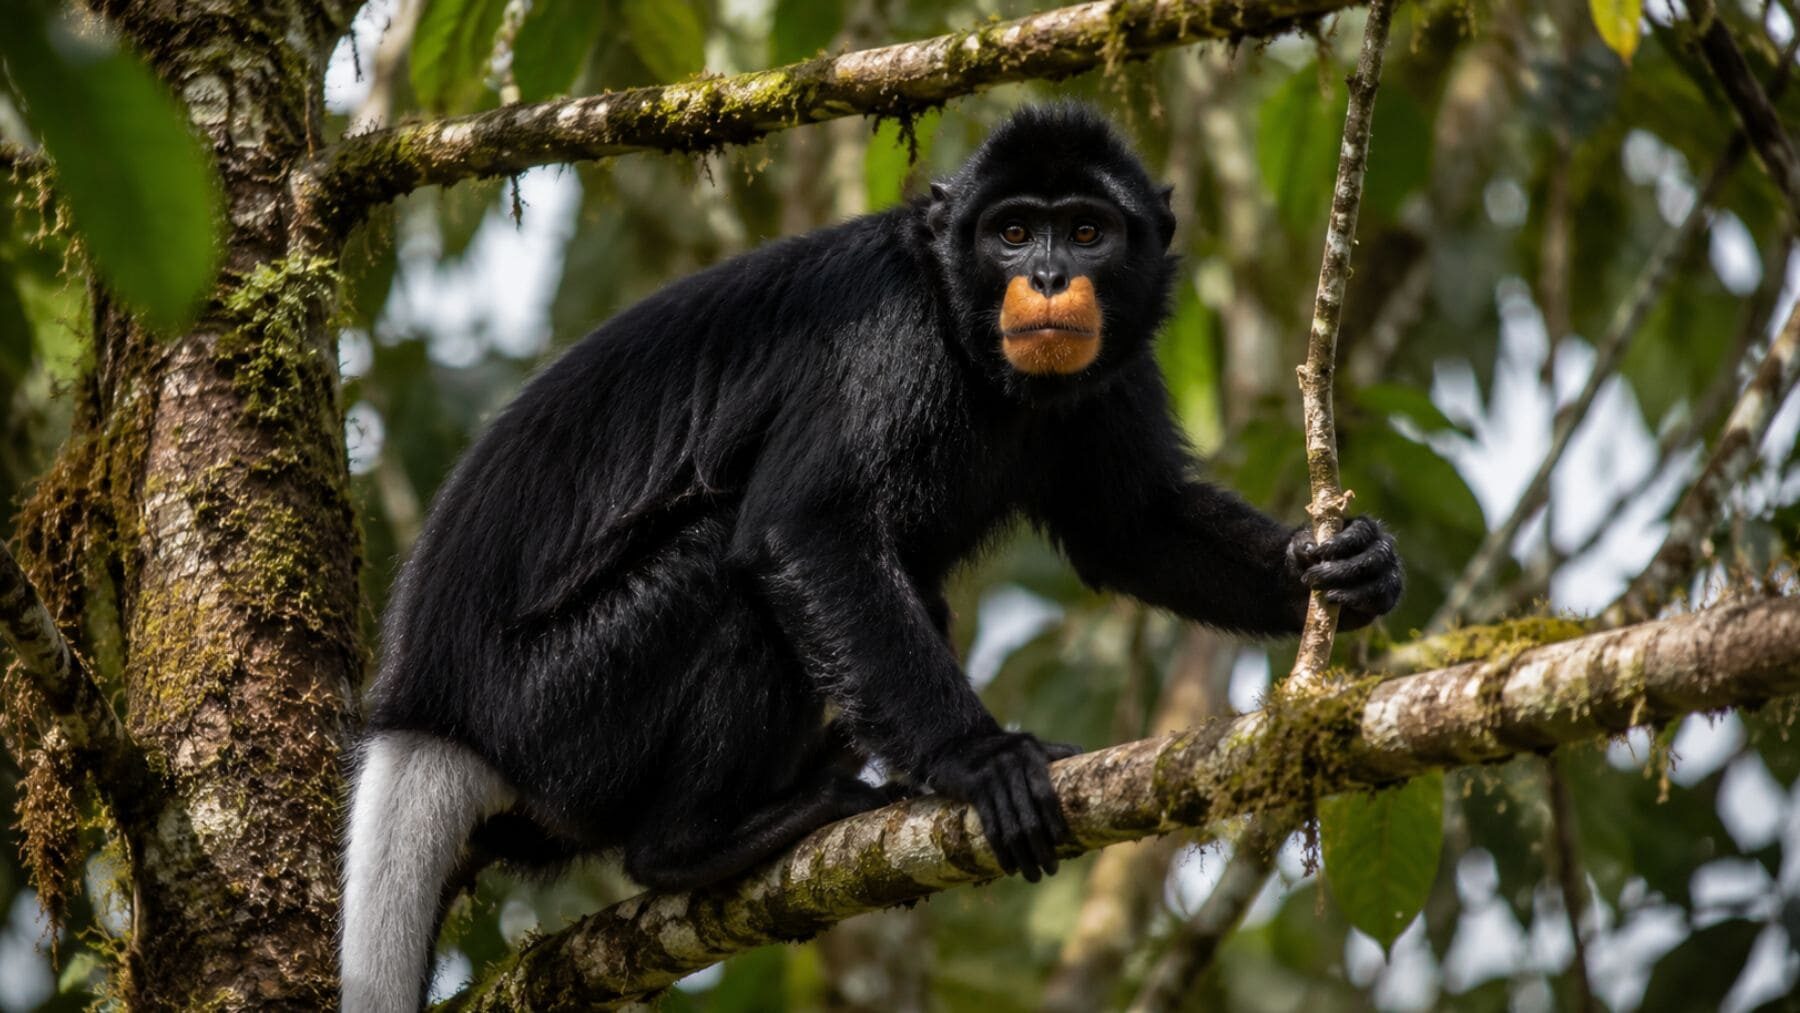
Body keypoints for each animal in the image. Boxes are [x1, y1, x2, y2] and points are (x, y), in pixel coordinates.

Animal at [340, 103, 1403, 1011]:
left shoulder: (1114, 361)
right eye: (1012, 235)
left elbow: (1133, 527)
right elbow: (799, 529)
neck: (963, 329)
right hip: (558, 707)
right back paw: (704, 843)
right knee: (718, 567)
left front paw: (1339, 567)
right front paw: (979, 760)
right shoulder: (885, 338)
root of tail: (430, 707)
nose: (1048, 279)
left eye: (1085, 233)